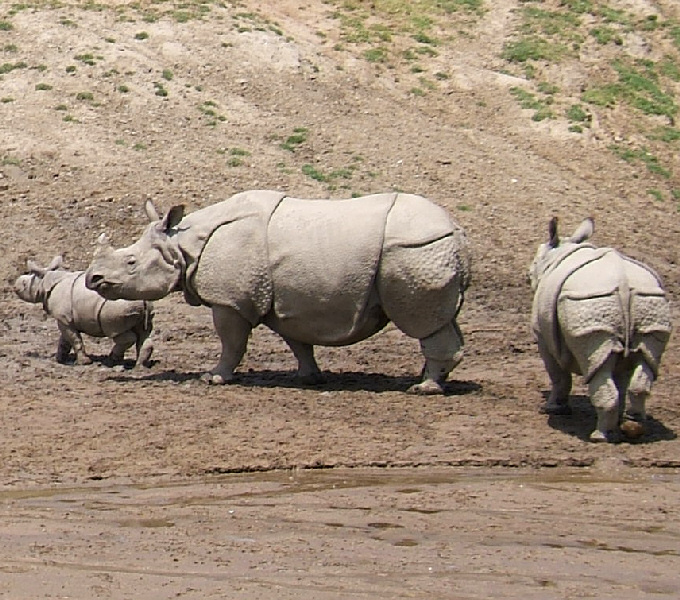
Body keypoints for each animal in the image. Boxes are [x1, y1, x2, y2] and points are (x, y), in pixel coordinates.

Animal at [15, 255, 154, 367]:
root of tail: (144, 300)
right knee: (144, 334)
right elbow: (65, 340)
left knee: (120, 334)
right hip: (143, 305)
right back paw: (140, 366)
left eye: (24, 284)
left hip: (117, 308)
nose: (15, 285)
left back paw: (111, 361)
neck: (45, 281)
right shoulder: (66, 319)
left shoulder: (63, 318)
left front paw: (83, 362)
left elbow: (74, 339)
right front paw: (59, 360)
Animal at [85, 190, 471, 394]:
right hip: (424, 249)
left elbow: (232, 342)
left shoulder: (230, 300)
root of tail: (458, 230)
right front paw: (308, 377)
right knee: (443, 319)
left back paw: (424, 388)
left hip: (415, 250)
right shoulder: (286, 297)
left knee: (424, 323)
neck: (182, 244)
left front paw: (214, 377)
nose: (92, 278)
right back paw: (432, 380)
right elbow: (296, 340)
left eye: (131, 262)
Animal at [529, 217, 672, 442]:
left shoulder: (542, 336)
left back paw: (600, 437)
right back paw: (633, 426)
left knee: (595, 363)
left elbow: (558, 375)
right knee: (644, 360)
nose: (529, 276)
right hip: (649, 301)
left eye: (534, 264)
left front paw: (553, 409)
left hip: (589, 300)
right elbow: (621, 378)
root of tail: (623, 283)